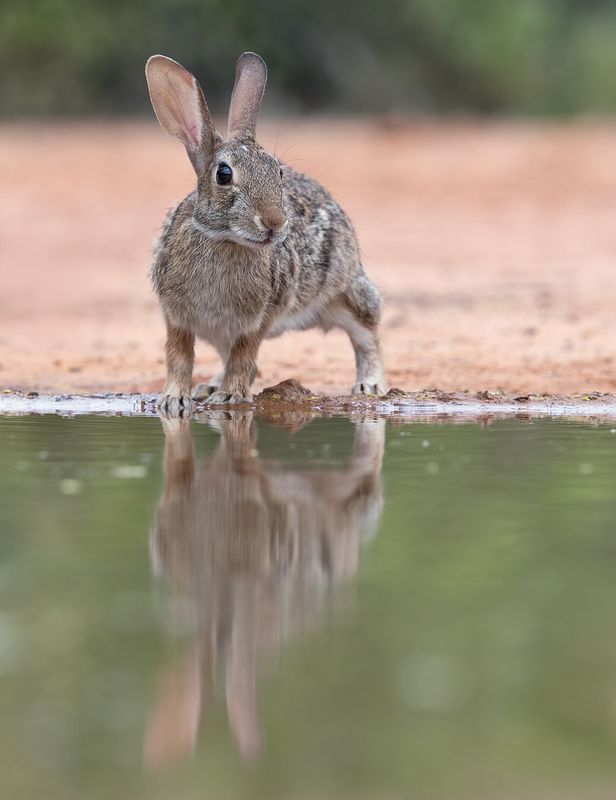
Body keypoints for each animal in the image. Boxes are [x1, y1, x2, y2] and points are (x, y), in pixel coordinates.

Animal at [145, 51, 386, 414]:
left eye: (278, 172)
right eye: (224, 174)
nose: (274, 222)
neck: (223, 239)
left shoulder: (258, 319)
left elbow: (244, 356)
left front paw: (229, 397)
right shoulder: (177, 317)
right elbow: (179, 357)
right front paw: (173, 400)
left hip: (346, 293)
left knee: (367, 335)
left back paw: (369, 385)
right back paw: (208, 386)